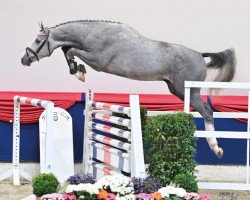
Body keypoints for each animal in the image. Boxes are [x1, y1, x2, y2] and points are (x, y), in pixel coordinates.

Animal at [20, 20, 236, 158]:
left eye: (38, 41)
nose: (24, 59)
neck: (95, 34)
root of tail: (200, 55)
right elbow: (68, 50)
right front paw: (78, 71)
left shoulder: (98, 61)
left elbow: (71, 50)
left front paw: (78, 72)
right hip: (177, 90)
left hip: (189, 91)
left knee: (207, 111)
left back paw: (215, 147)